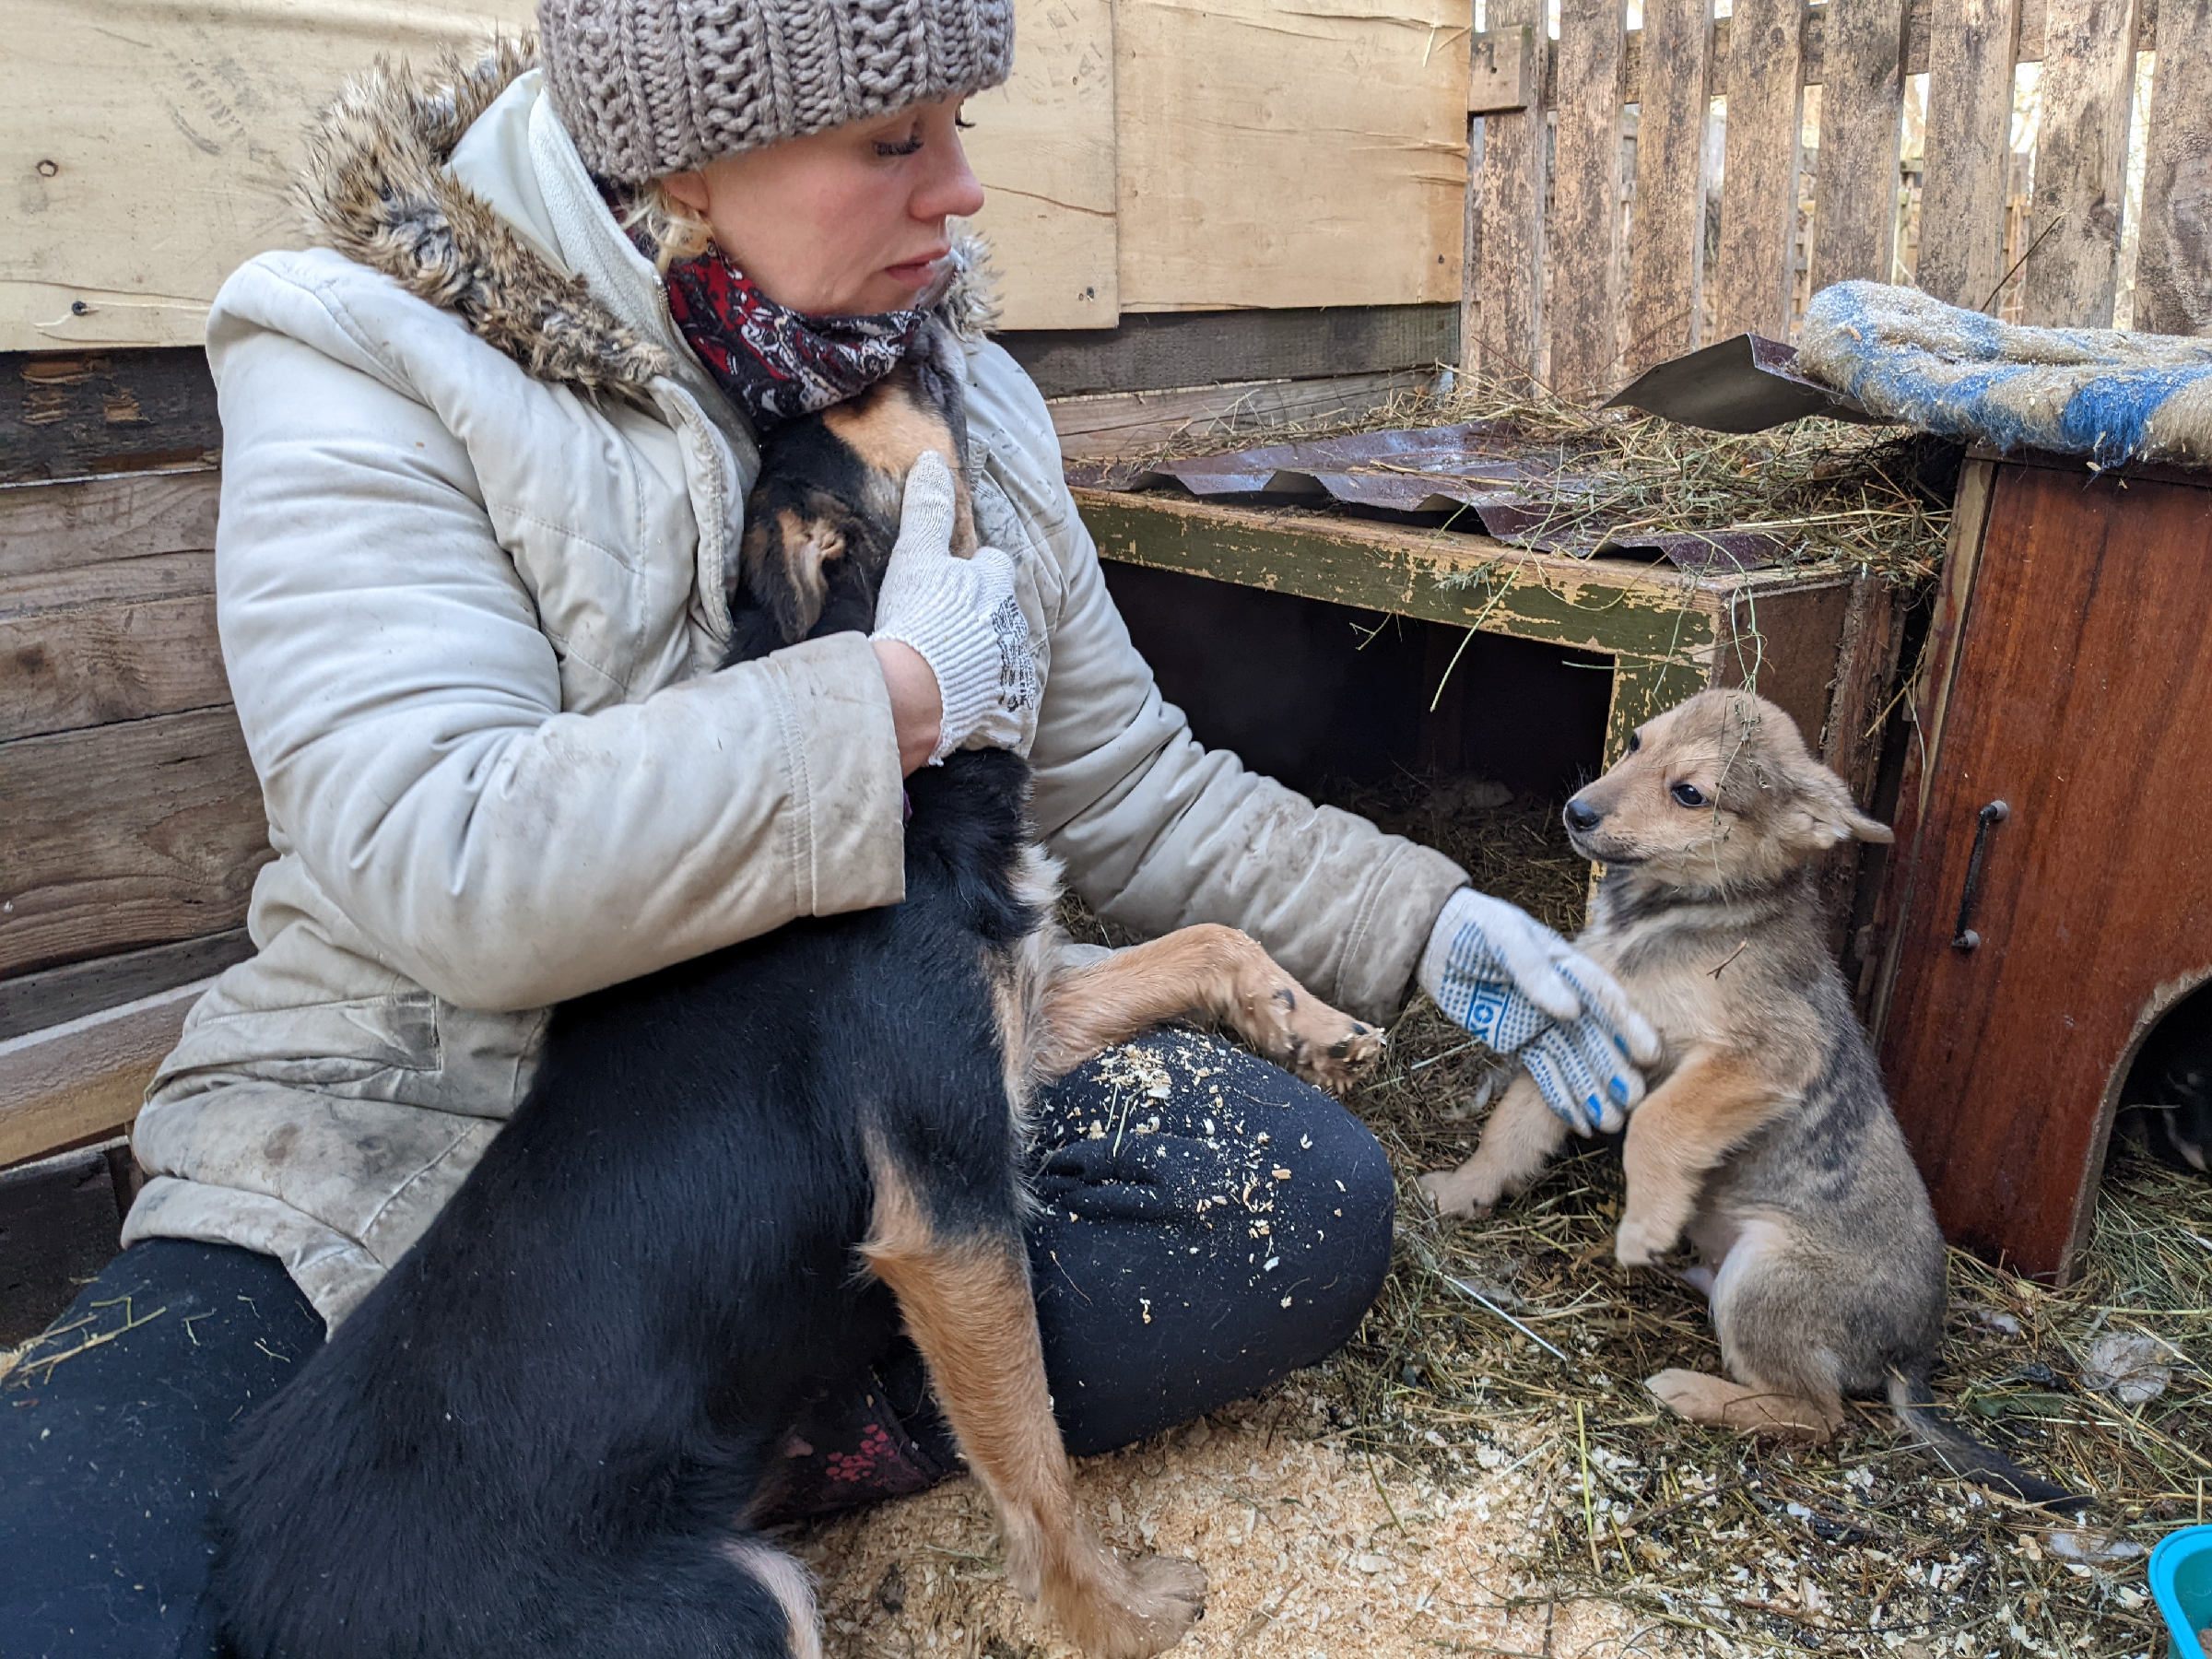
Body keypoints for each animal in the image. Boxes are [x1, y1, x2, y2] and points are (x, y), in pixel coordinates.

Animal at [211, 324, 1380, 1659]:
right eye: (841, 408)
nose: (929, 327)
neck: (915, 776)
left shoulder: (1014, 1027)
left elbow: (1204, 937)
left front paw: (1317, 1024)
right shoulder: (946, 1208)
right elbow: (1034, 1457)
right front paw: (1114, 1615)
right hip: (737, 1604)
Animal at [1424, 694, 2079, 1512]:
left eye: (1689, 793)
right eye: (1633, 742)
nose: (1578, 810)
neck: (1666, 917)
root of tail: (1915, 1358)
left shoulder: (1764, 1056)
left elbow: (1658, 1125)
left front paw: (1643, 1224)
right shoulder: (1588, 1035)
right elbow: (1513, 1123)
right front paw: (1463, 1191)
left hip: (1766, 1275)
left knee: (1819, 1416)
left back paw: (1692, 1388)